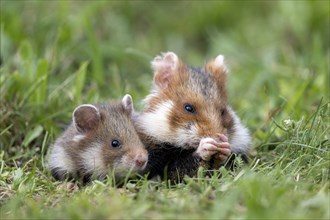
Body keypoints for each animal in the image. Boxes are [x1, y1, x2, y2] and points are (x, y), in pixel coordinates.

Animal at [134, 52, 250, 182]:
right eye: (188, 108)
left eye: (223, 112)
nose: (218, 138)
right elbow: (177, 170)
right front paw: (207, 145)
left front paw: (225, 147)